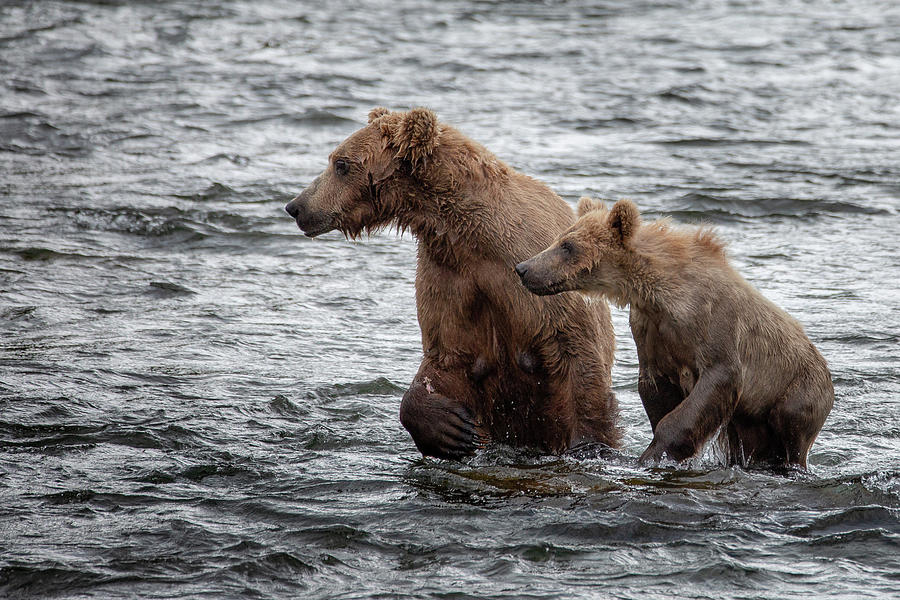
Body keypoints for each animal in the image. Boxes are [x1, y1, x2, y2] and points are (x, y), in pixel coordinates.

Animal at [286, 108, 620, 460]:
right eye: (334, 159)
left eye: (341, 164)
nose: (295, 206)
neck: (472, 236)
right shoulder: (450, 276)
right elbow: (447, 355)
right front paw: (452, 428)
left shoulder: (538, 277)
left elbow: (577, 364)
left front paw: (589, 443)